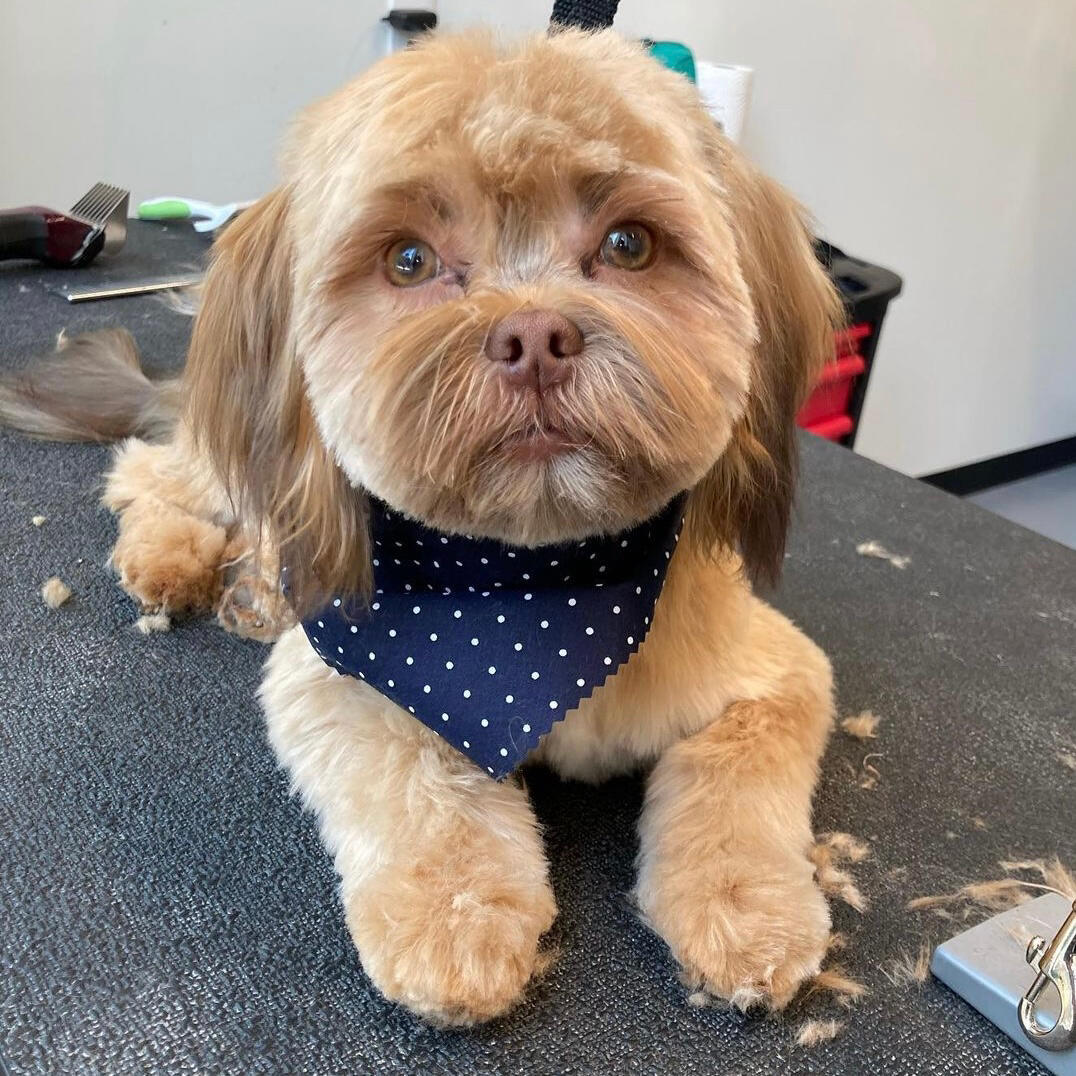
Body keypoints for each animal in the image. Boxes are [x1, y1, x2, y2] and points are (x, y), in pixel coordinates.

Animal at [2, 29, 842, 1025]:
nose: (535, 337)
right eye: (407, 260)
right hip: (239, 456)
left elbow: (738, 773)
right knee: (150, 473)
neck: (529, 587)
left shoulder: (776, 671)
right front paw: (455, 916)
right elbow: (415, 776)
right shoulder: (341, 672)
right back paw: (169, 555)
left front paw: (747, 907)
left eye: (629, 244)